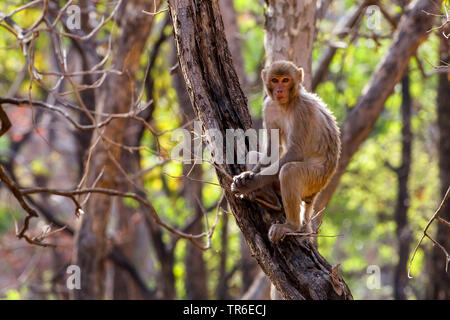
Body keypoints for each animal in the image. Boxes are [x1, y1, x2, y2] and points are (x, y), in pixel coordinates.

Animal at [232, 59, 342, 242]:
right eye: (275, 80)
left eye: (285, 80)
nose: (279, 90)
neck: (287, 104)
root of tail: (316, 192)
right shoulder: (269, 106)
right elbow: (272, 149)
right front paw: (246, 177)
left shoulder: (302, 110)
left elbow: (295, 152)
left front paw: (251, 184)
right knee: (255, 156)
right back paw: (268, 197)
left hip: (315, 179)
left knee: (289, 171)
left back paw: (291, 225)